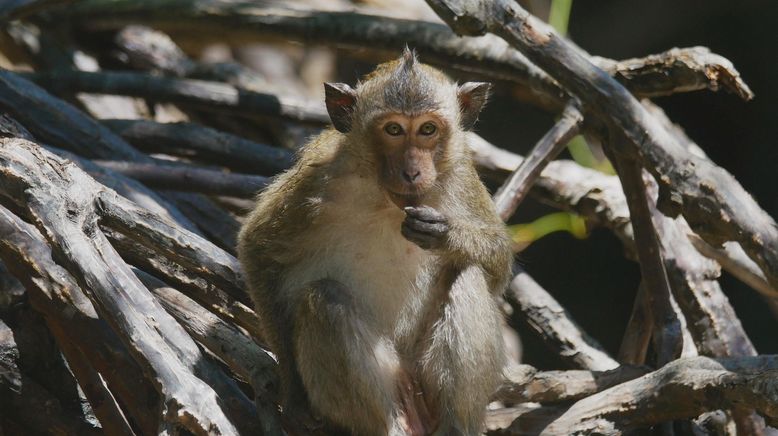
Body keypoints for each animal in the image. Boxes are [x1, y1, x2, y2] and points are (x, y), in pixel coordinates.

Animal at [238, 48, 516, 436]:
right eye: (394, 130)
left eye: (427, 129)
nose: (412, 171)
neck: (385, 200)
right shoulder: (317, 179)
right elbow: (258, 249)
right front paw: (292, 393)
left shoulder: (461, 175)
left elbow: (498, 263)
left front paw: (446, 234)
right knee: (325, 299)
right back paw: (389, 424)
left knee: (467, 274)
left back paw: (453, 425)